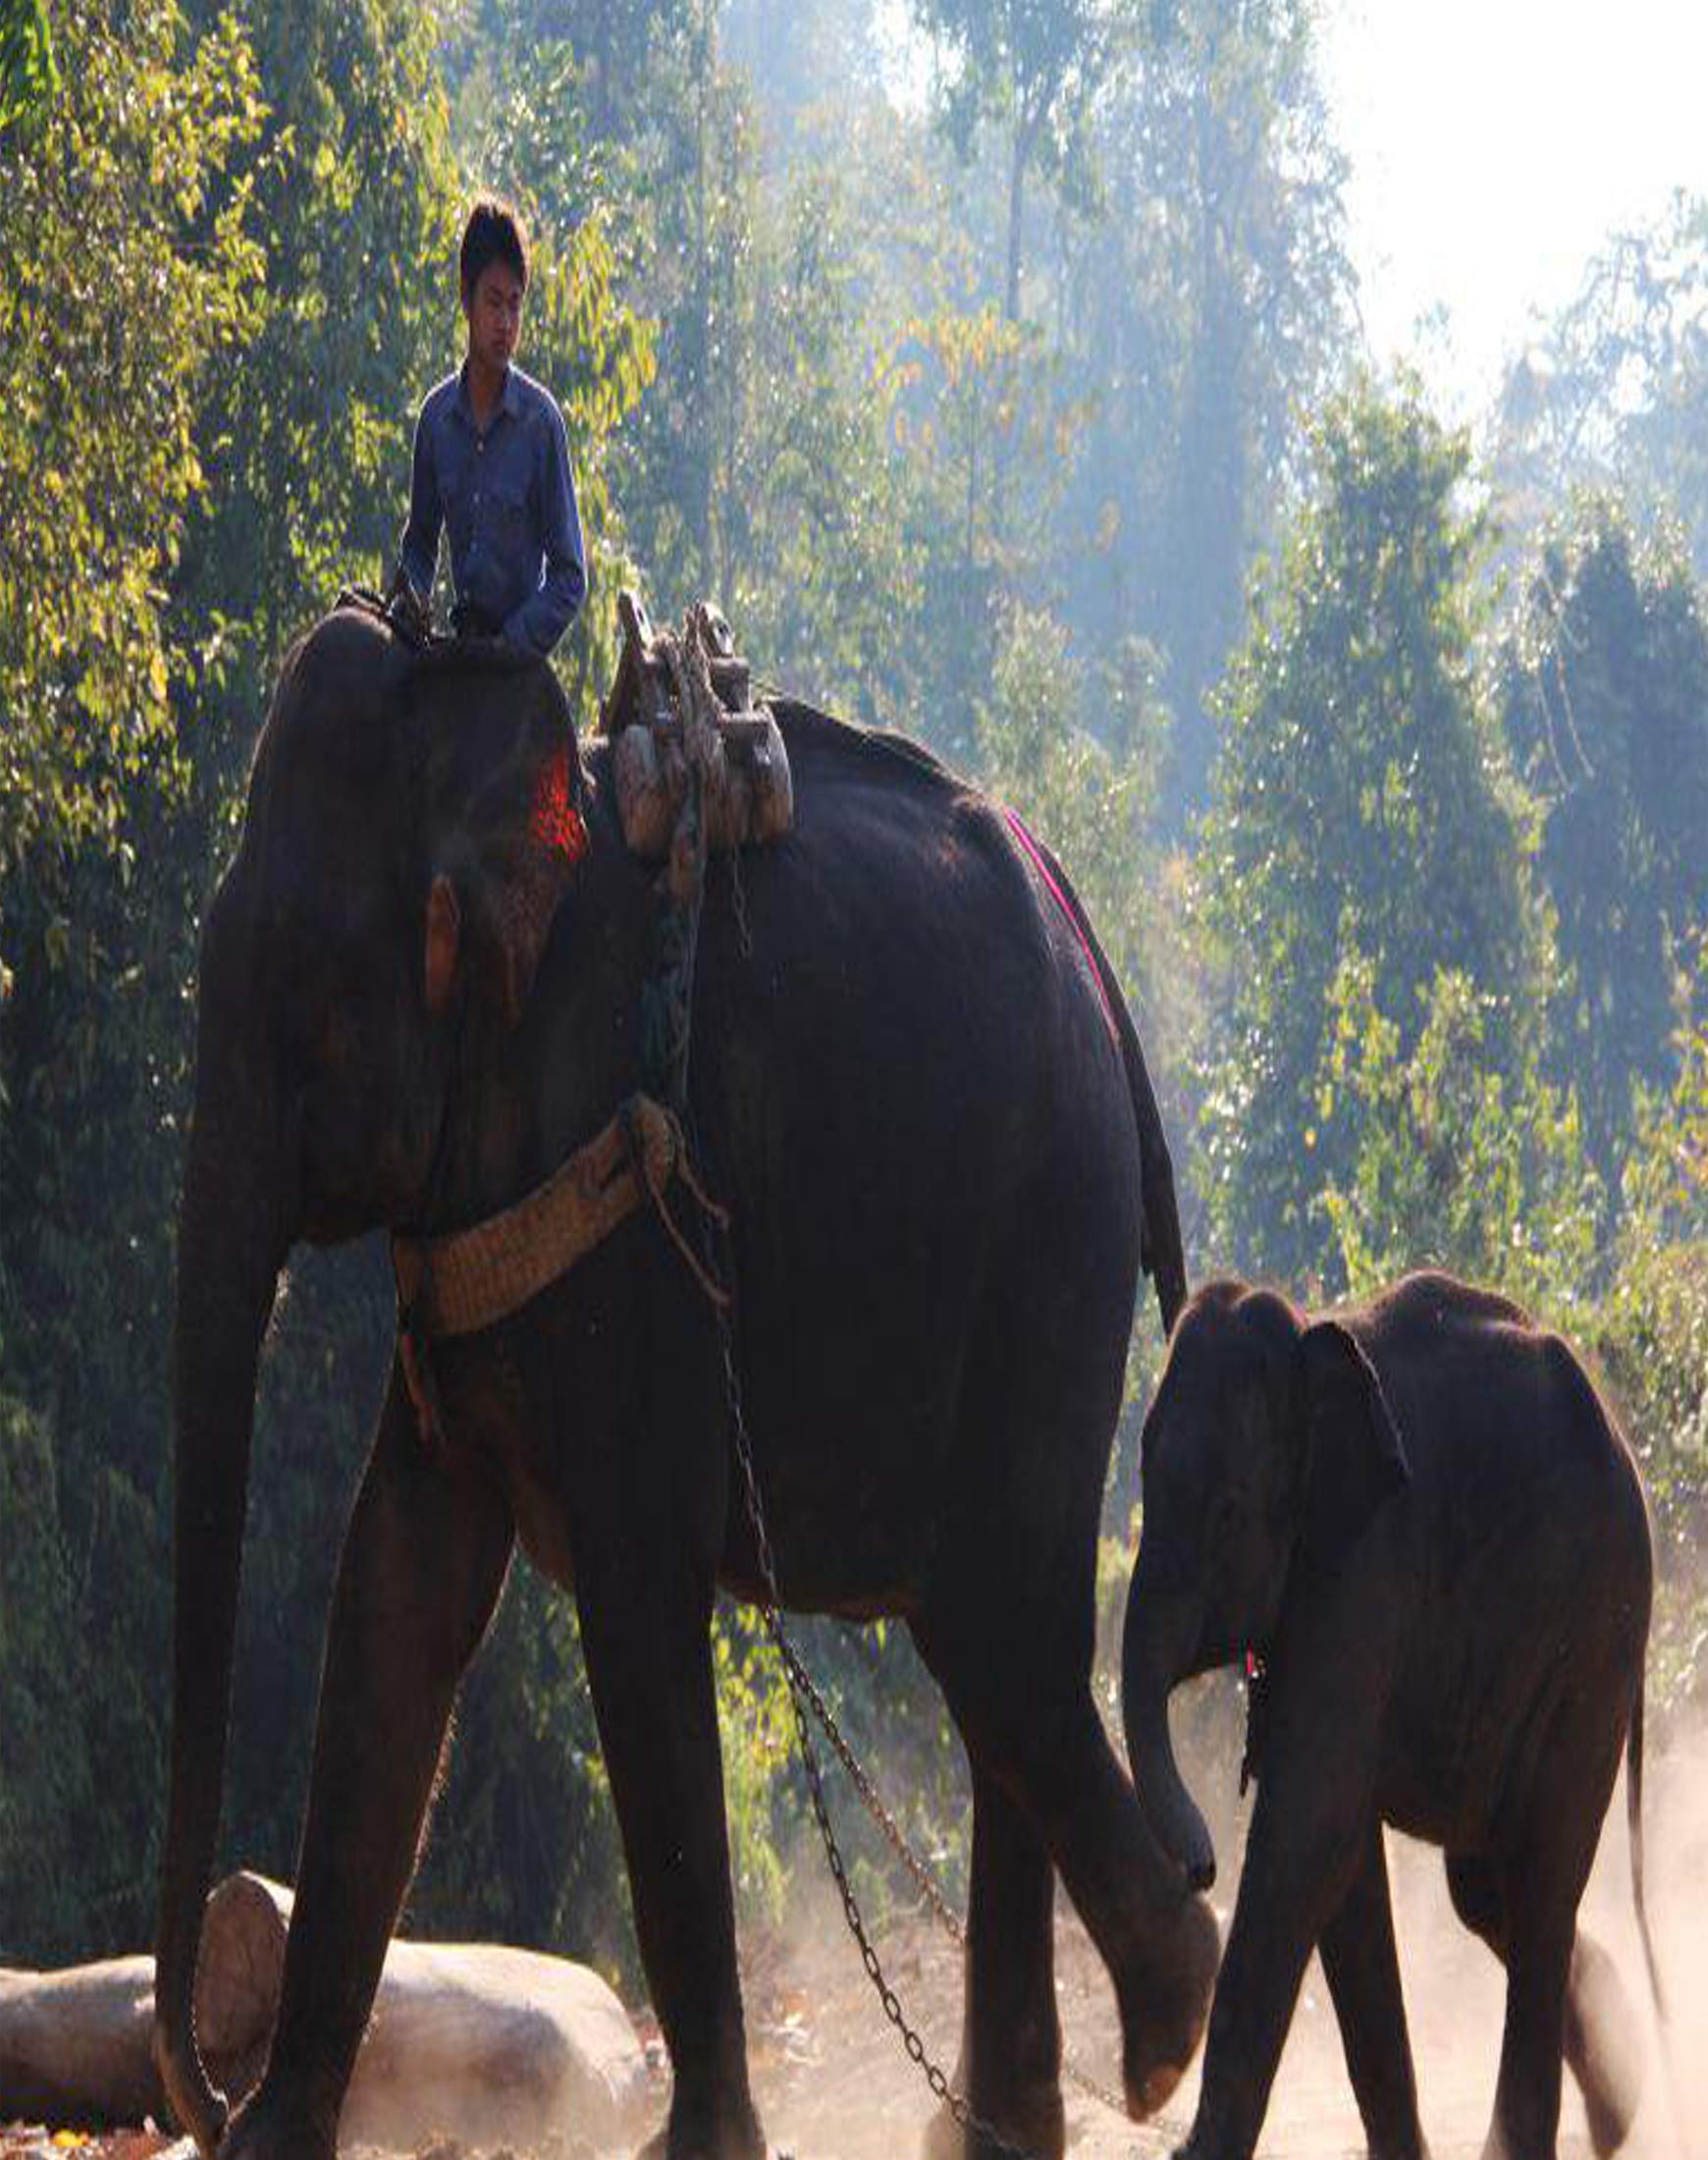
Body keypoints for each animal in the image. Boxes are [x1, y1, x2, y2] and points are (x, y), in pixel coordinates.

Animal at [150, 607, 1220, 2160]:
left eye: (303, 997)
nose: (206, 2096)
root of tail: (1100, 967)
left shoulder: (636, 1191)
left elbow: (636, 1600)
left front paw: (700, 2147)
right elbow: (394, 1588)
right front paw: (280, 2139)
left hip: (1045, 1237)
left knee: (995, 1630)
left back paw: (1166, 2025)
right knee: (992, 1650)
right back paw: (1025, 2110)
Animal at [1122, 1269, 1661, 2160]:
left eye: (1230, 1512)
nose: (1201, 1869)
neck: (1307, 1342)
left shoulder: (1365, 1565)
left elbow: (1307, 1830)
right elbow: (1340, 1864)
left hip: (1598, 1631)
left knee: (1540, 1884)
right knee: (1486, 1889)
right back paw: (1624, 2105)